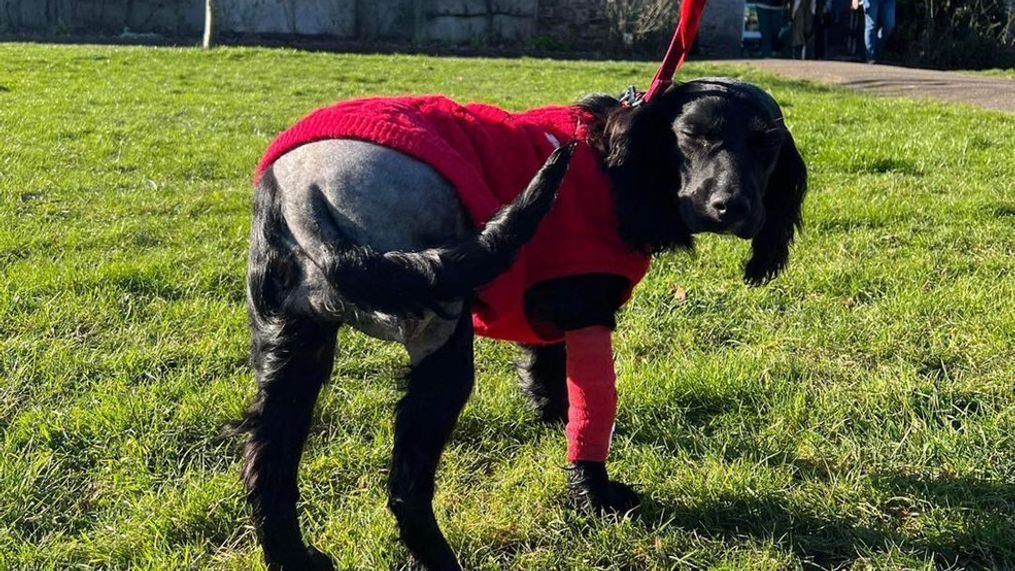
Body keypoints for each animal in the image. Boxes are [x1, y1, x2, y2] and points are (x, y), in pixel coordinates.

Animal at [235, 79, 807, 571]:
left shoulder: (554, 323)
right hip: (442, 348)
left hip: (293, 355)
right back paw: (442, 561)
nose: (732, 207)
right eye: (695, 134)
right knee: (406, 490)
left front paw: (554, 421)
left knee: (268, 469)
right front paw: (596, 493)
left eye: (767, 144)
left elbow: (551, 380)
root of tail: (304, 193)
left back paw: (295, 558)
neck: (619, 167)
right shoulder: (589, 316)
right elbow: (592, 416)